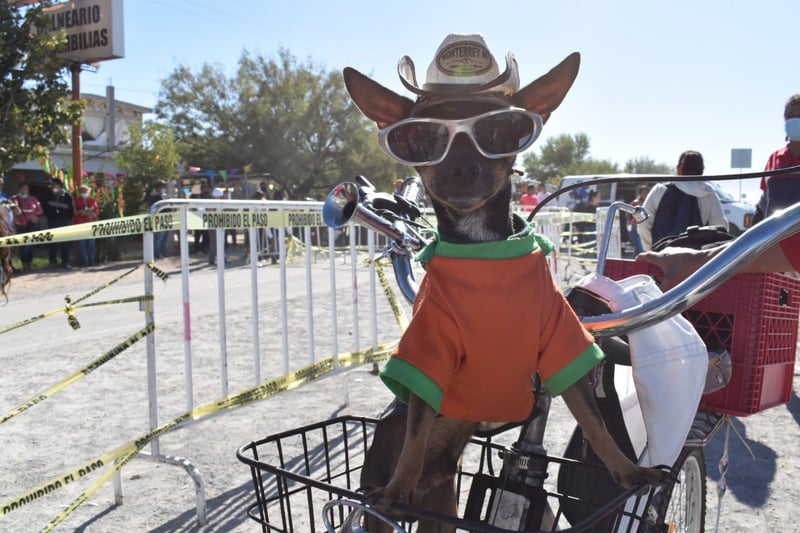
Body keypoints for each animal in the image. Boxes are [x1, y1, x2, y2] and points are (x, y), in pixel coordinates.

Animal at [344, 35, 664, 528]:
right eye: (421, 140)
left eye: (500, 133)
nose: (462, 169)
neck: (483, 253)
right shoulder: (428, 353)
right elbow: (416, 431)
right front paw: (395, 487)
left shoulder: (561, 345)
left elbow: (595, 423)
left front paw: (628, 472)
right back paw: (395, 489)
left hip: (443, 502)